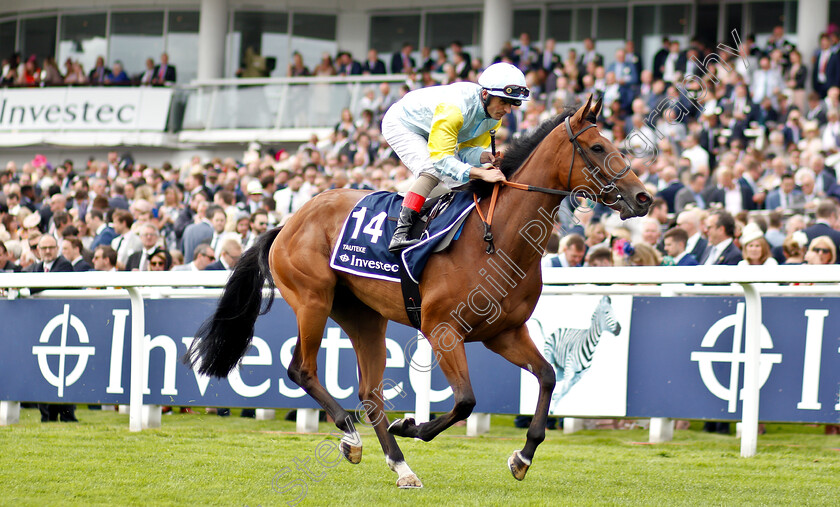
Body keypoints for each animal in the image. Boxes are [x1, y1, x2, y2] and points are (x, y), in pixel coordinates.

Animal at [187, 95, 652, 488]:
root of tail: (287, 223)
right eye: (597, 147)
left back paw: (401, 466)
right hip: (312, 300)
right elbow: (465, 401)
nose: (643, 197)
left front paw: (522, 457)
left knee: (370, 393)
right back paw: (351, 438)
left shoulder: (505, 333)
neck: (497, 237)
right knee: (302, 369)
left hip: (362, 316)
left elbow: (548, 377)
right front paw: (411, 425)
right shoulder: (442, 329)